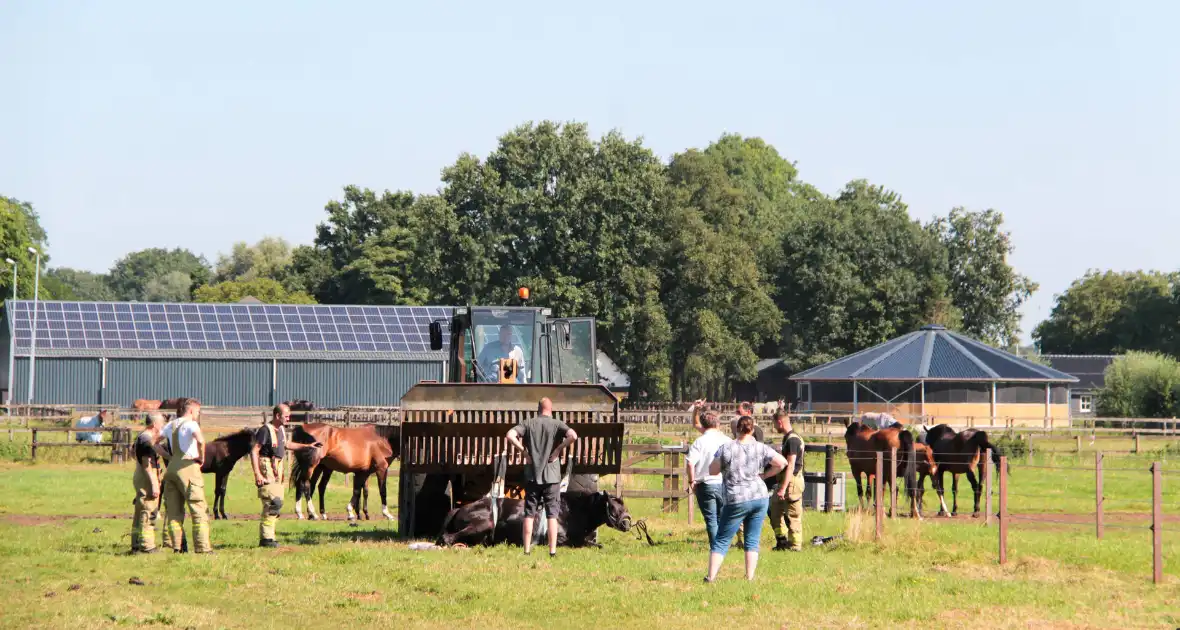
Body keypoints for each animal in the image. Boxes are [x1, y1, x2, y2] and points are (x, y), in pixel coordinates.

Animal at [436, 490, 637, 549]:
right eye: (614, 507)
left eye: (624, 505)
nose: (627, 522)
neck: (570, 512)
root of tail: (459, 509)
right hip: (486, 522)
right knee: (447, 538)